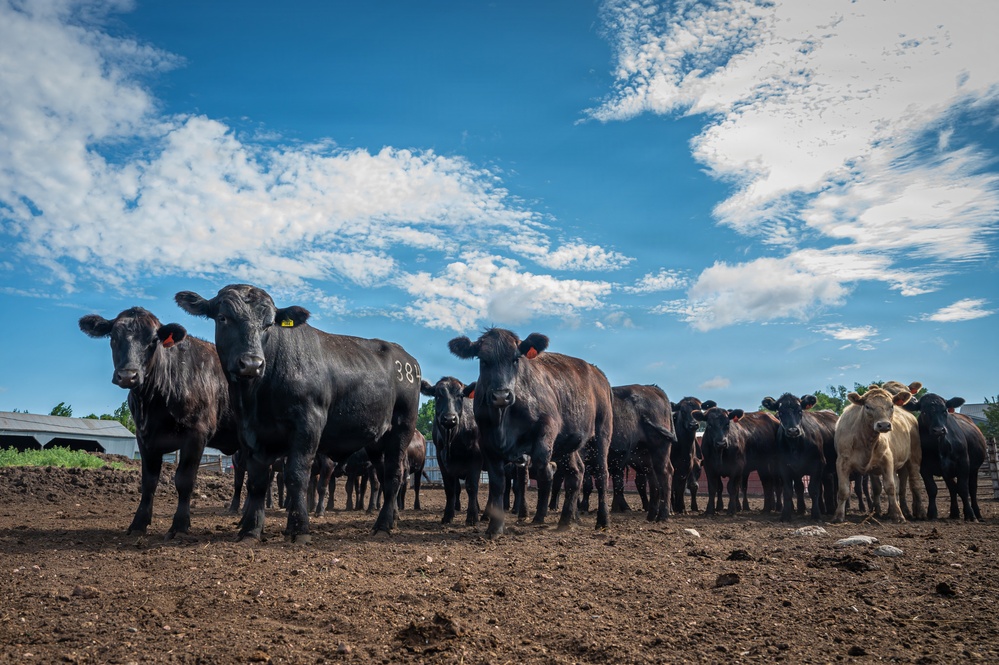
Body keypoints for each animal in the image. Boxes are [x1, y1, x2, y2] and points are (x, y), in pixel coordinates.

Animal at [79, 308, 239, 538]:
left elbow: (184, 480)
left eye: (153, 340)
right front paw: (138, 523)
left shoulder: (196, 434)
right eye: (113, 337)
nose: (128, 375)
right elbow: (148, 482)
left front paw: (180, 525)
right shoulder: (145, 438)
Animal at [175, 284, 421, 542]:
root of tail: (406, 358)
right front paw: (250, 529)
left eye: (269, 324)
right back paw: (392, 518)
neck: (258, 396)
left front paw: (299, 528)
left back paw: (383, 525)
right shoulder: (250, 431)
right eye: (223, 318)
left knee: (394, 474)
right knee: (384, 475)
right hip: (377, 441)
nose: (252, 363)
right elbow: (257, 481)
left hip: (401, 428)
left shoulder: (308, 424)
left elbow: (297, 476)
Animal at [420, 377, 482, 526]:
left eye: (460, 396)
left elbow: (472, 486)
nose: (449, 418)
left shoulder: (476, 456)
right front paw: (448, 515)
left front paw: (472, 517)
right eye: (437, 396)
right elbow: (450, 488)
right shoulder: (441, 458)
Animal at [448, 328, 613, 537]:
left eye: (516, 359)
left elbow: (541, 461)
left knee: (601, 475)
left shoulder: (549, 424)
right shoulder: (488, 444)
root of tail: (598, 373)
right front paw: (495, 528)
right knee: (576, 472)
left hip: (601, 435)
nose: (501, 395)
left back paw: (603, 521)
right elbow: (498, 484)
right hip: (568, 444)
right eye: (483, 360)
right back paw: (566, 520)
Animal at [832, 386, 923, 523]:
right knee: (894, 486)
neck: (864, 439)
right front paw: (838, 515)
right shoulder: (842, 462)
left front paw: (898, 515)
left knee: (912, 484)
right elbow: (844, 490)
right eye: (867, 406)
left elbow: (890, 487)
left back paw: (915, 512)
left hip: (913, 459)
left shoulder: (887, 460)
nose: (884, 425)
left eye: (891, 405)